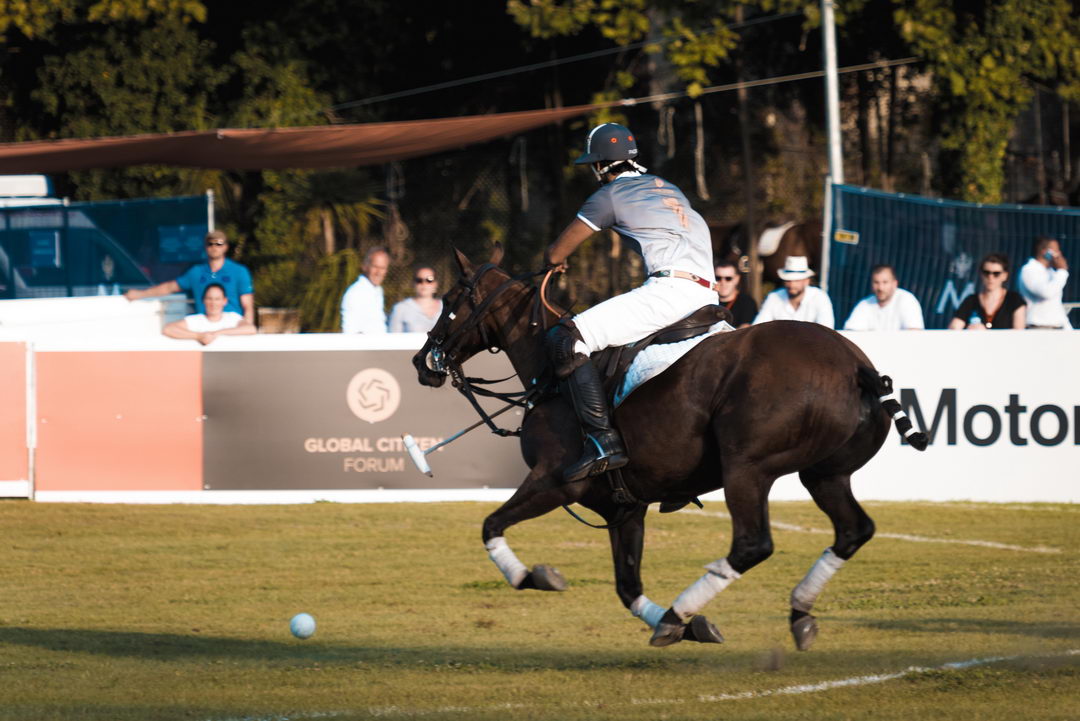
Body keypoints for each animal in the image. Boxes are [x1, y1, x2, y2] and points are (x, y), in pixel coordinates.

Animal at [412, 245, 927, 650]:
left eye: (450, 301)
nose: (422, 362)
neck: (548, 373)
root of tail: (858, 366)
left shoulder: (556, 482)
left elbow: (490, 525)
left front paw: (533, 576)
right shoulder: (623, 507)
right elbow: (627, 585)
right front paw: (685, 625)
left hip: (748, 467)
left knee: (752, 544)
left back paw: (685, 611)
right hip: (826, 474)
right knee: (853, 530)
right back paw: (797, 612)